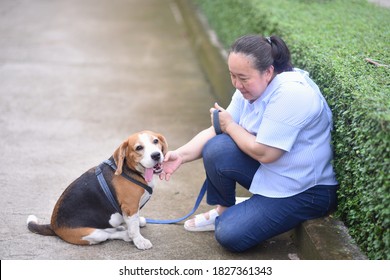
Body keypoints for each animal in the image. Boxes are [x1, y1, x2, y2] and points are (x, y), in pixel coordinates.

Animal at [27, 130, 168, 250]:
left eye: (155, 141)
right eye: (139, 148)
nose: (156, 155)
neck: (133, 170)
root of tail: (53, 226)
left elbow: (133, 222)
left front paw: (137, 223)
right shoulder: (130, 207)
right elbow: (133, 229)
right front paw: (139, 241)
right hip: (92, 234)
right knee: (107, 234)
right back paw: (124, 234)